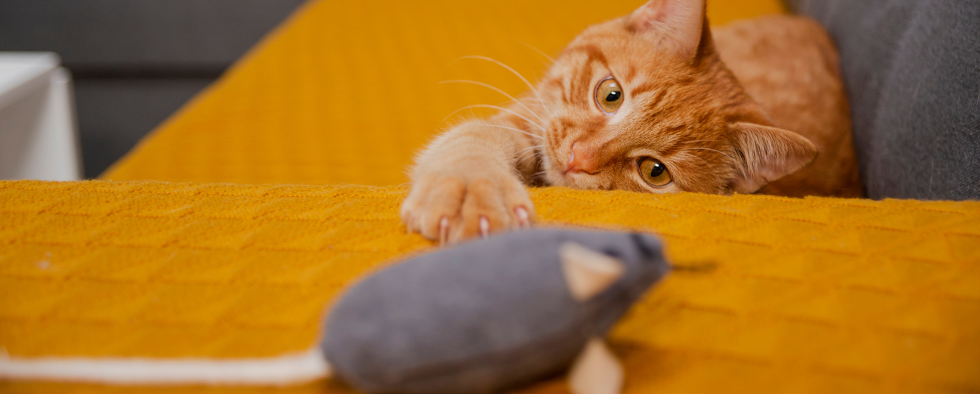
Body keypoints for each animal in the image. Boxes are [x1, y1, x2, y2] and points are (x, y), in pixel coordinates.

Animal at [398, 0, 856, 243]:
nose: (579, 158)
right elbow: (474, 139)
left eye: (654, 172)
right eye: (610, 94)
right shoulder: (528, 118)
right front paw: (470, 192)